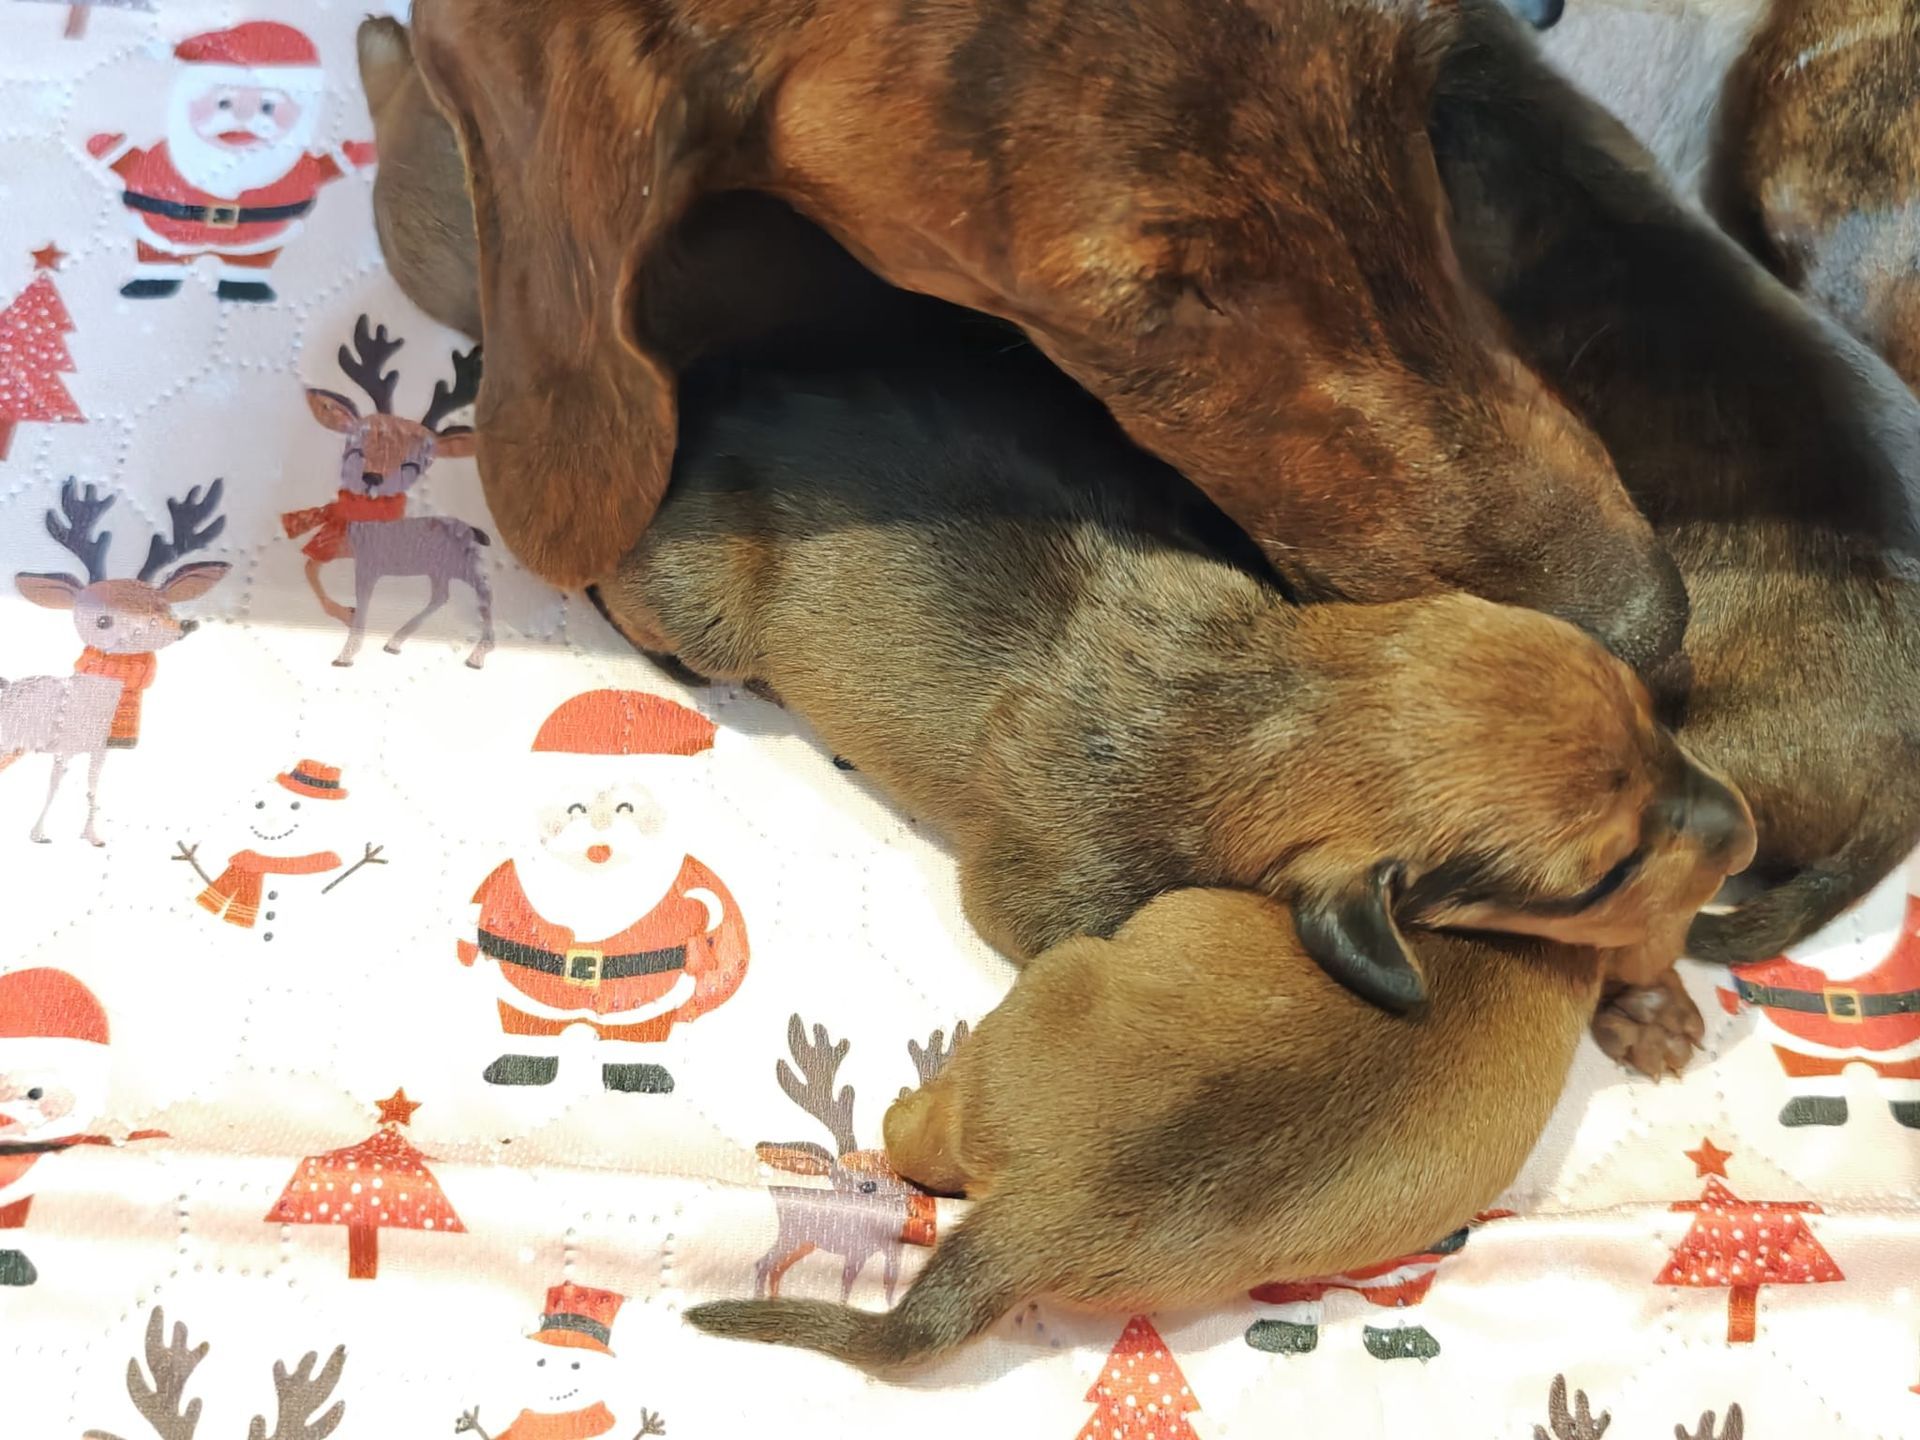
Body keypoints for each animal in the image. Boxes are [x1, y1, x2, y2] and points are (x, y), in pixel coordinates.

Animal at [3, 478, 228, 845]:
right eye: (102, 620)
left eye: (164, 607)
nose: (183, 626)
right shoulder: (64, 745)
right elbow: (54, 784)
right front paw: (38, 833)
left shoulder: (99, 749)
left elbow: (93, 787)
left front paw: (93, 836)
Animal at [281, 314, 495, 670]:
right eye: (356, 444)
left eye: (414, 464)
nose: (372, 478)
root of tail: (475, 530)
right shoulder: (342, 546)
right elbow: (310, 568)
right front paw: (343, 613)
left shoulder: (369, 565)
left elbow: (363, 606)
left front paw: (346, 654)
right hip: (440, 570)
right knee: (441, 596)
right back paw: (395, 642)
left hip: (469, 567)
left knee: (485, 598)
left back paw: (477, 656)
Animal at [749, 1014, 967, 1305]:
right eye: (866, 1186)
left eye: (918, 1186)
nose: (926, 1220)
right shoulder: (857, 1249)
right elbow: (848, 1285)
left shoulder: (891, 1250)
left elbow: (889, 1286)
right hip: (791, 1236)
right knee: (764, 1264)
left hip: (805, 1243)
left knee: (777, 1268)